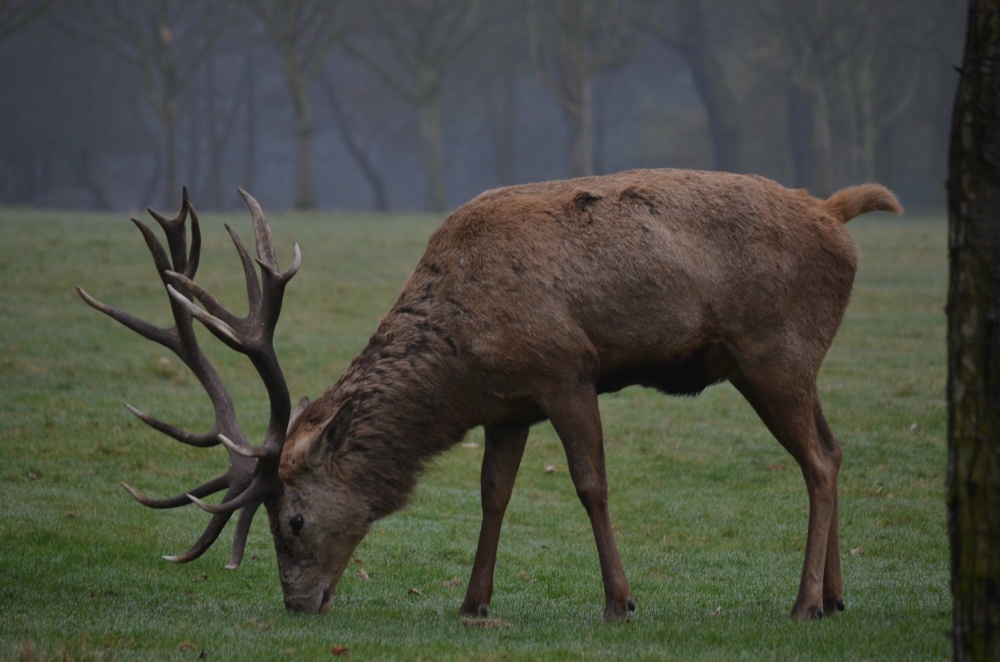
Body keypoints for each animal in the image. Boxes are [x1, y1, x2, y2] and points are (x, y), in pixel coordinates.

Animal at [77, 169, 902, 622]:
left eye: (295, 520)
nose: (299, 603)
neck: (460, 364)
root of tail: (837, 213)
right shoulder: (510, 404)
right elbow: (493, 493)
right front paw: (473, 602)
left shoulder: (565, 368)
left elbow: (591, 483)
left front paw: (620, 600)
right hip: (793, 363)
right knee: (834, 449)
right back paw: (836, 597)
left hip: (772, 351)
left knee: (817, 461)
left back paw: (802, 602)